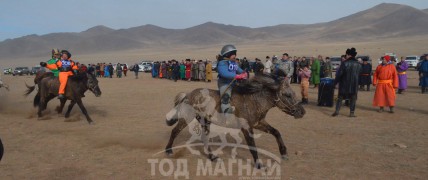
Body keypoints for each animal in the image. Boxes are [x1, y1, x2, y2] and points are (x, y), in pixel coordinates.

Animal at [166, 69, 306, 168]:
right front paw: (259, 165)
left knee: (204, 138)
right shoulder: (247, 128)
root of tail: (188, 95)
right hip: (187, 118)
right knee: (174, 131)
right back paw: (168, 150)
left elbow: (276, 132)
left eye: (293, 93)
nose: (302, 112)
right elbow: (252, 146)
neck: (254, 100)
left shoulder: (259, 123)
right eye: (287, 95)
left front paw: (284, 153)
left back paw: (212, 157)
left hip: (205, 120)